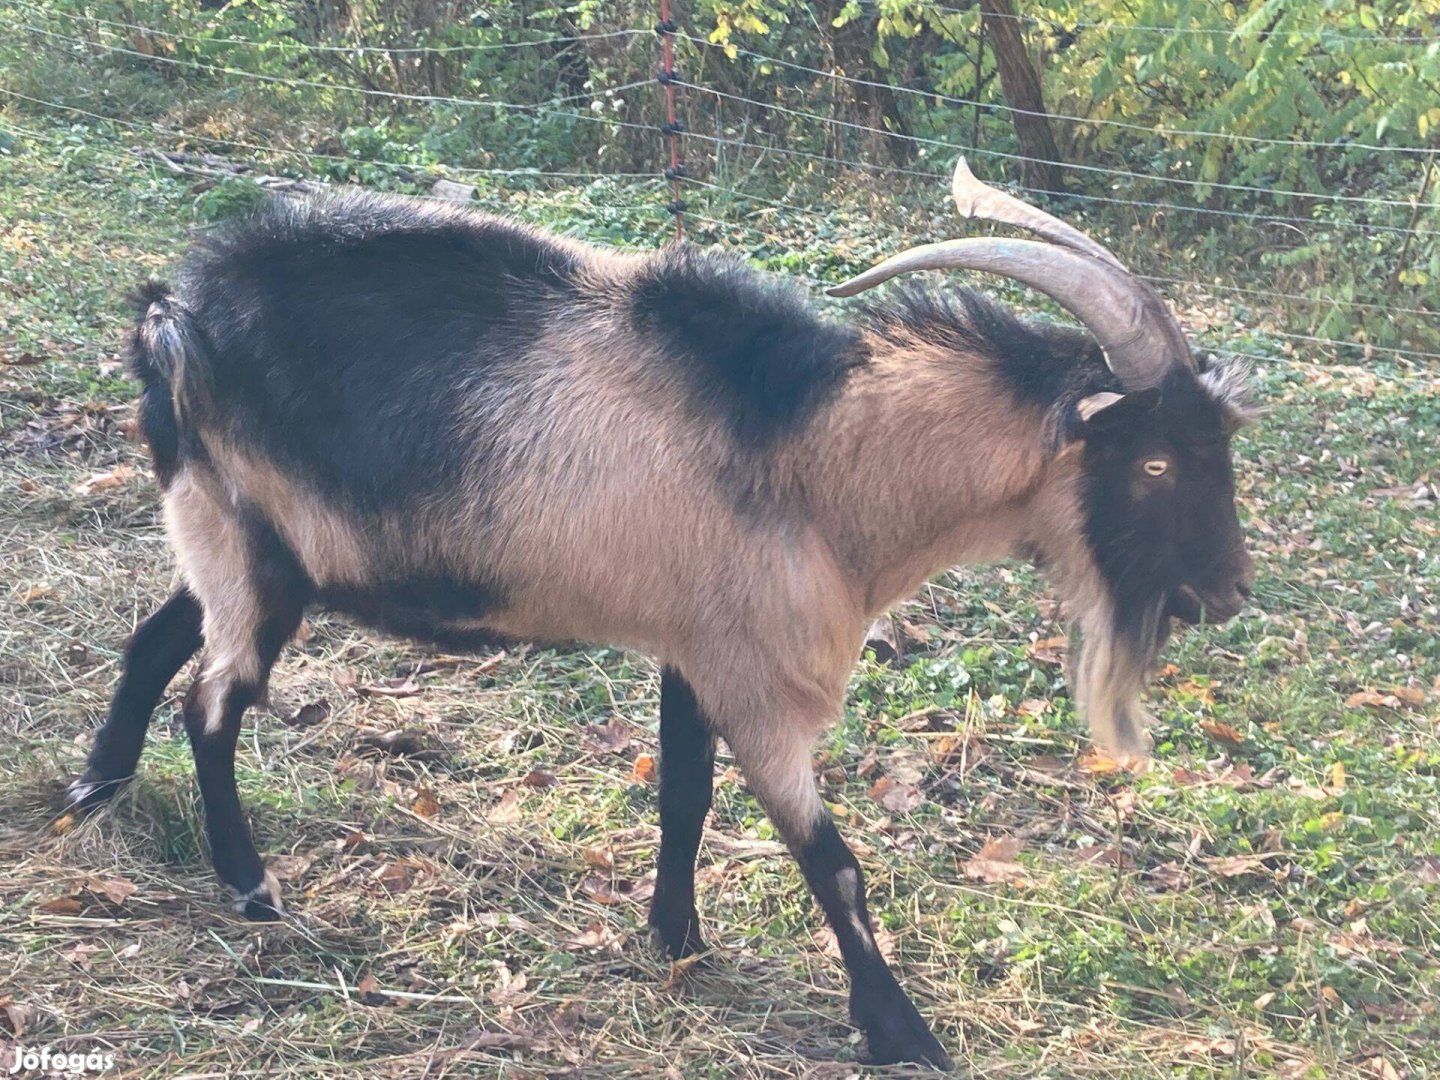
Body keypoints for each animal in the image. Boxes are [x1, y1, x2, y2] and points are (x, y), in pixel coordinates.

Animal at [73, 160, 1255, 1077]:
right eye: (1155, 462)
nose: (1227, 593)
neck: (812, 458)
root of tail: (170, 312)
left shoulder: (695, 645)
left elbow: (684, 794)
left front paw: (675, 939)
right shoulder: (759, 680)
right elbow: (833, 860)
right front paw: (903, 1033)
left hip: (237, 535)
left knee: (157, 639)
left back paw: (99, 787)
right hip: (256, 558)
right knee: (214, 702)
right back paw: (251, 886)